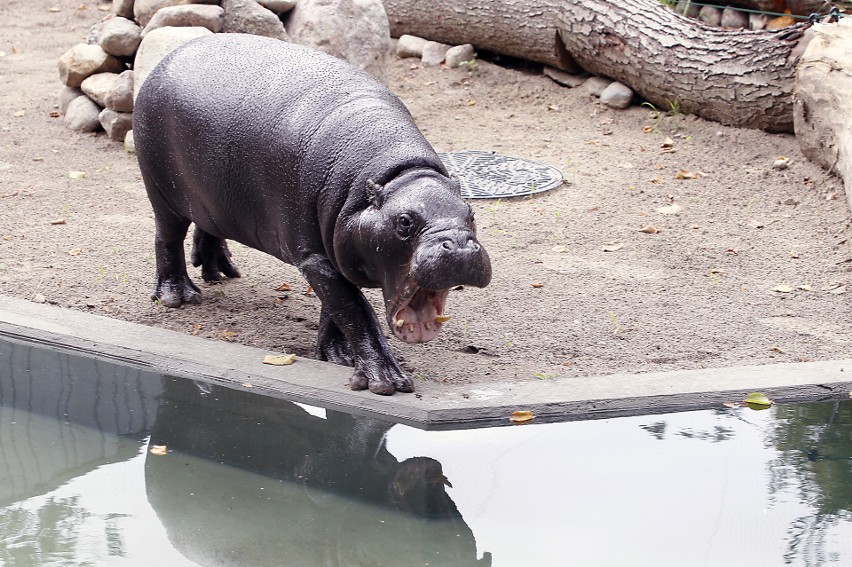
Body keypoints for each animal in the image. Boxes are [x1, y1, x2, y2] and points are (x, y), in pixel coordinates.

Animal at [133, 34, 492, 394]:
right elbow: (355, 310)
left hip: (214, 194)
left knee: (208, 225)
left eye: (471, 213)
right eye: (404, 221)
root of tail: (169, 57)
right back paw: (178, 296)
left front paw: (338, 356)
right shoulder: (315, 257)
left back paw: (221, 272)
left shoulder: (333, 253)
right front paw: (386, 381)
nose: (460, 246)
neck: (399, 176)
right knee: (167, 238)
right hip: (162, 192)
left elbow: (337, 308)